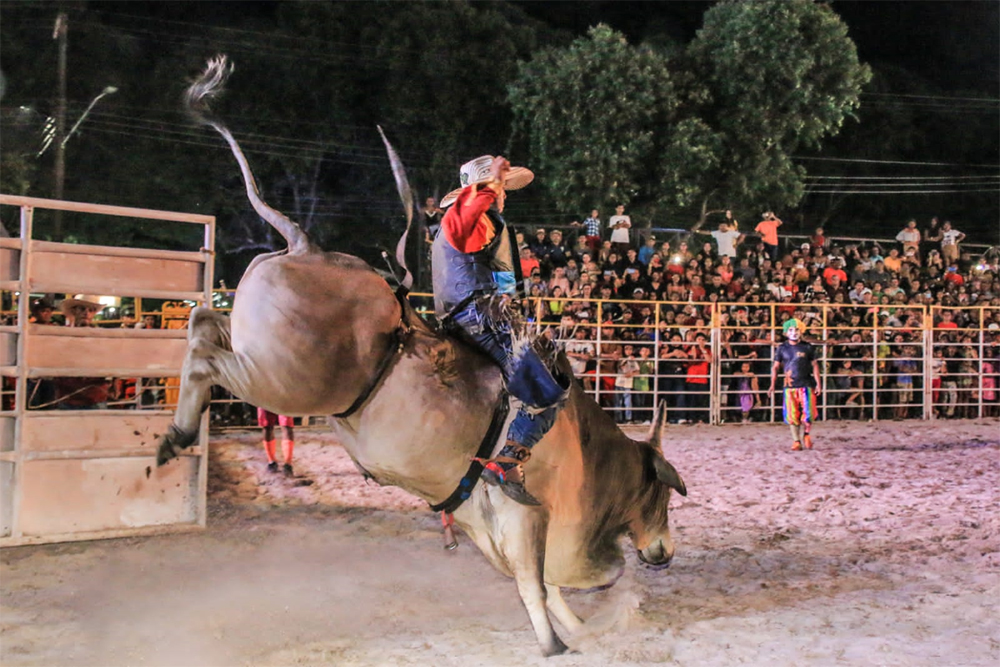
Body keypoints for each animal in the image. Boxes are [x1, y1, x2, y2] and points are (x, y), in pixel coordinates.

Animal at [158, 56, 688, 656]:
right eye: (662, 496)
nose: (665, 552)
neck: (585, 450)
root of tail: (304, 244)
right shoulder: (526, 514)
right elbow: (537, 583)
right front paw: (555, 644)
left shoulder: (489, 521)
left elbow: (544, 586)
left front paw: (578, 628)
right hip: (287, 378)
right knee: (207, 357)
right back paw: (178, 432)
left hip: (260, 348)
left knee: (203, 322)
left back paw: (178, 424)